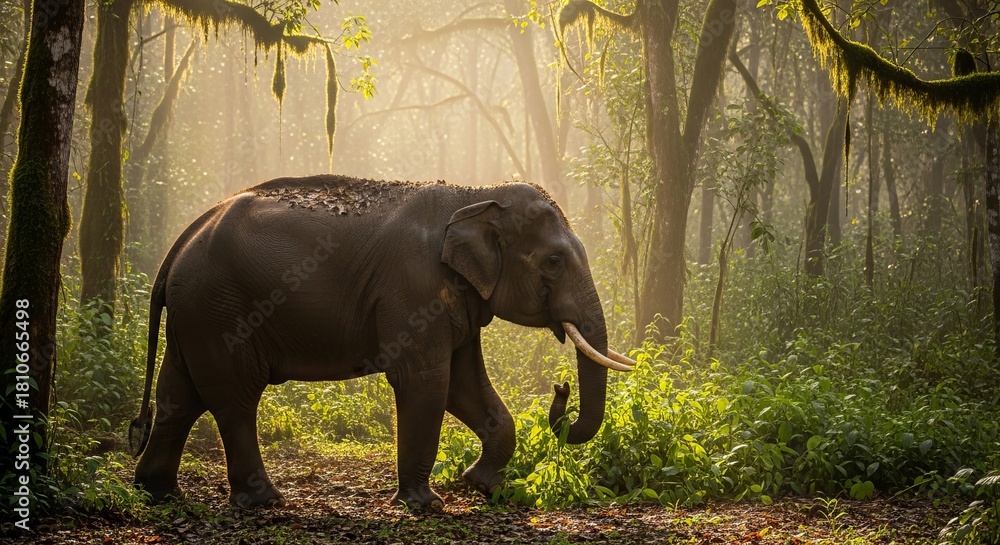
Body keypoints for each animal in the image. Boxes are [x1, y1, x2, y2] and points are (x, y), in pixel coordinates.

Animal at [130, 174, 635, 509]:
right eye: (553, 262)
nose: (560, 388)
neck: (474, 194)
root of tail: (180, 244)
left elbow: (464, 385)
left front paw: (483, 485)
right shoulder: (413, 286)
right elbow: (425, 381)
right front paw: (425, 504)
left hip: (195, 316)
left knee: (179, 394)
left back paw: (157, 492)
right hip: (219, 311)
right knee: (234, 397)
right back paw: (267, 503)